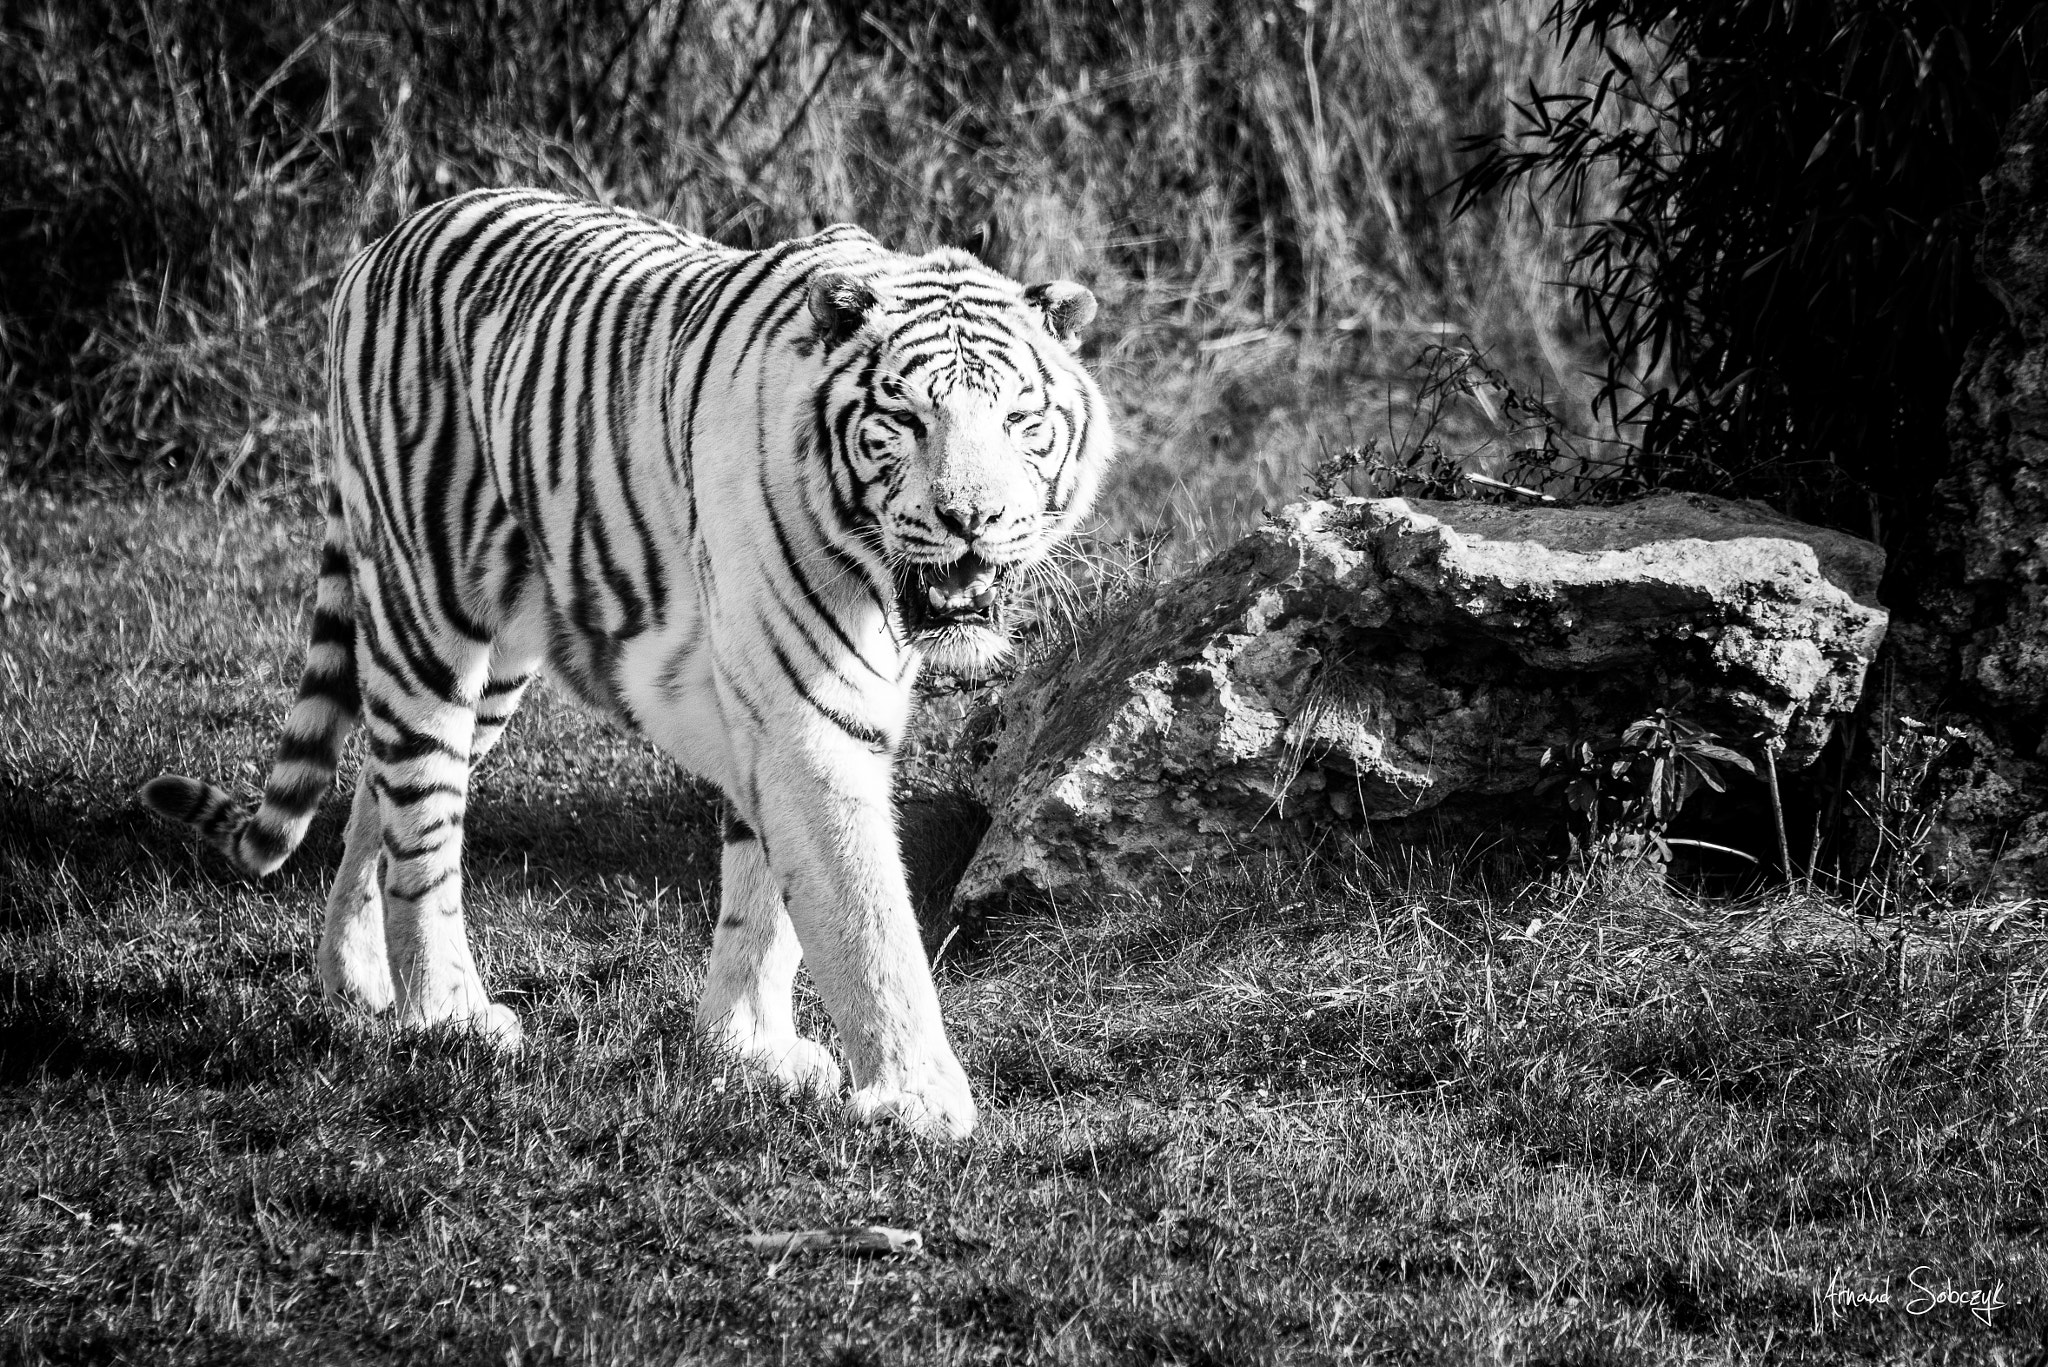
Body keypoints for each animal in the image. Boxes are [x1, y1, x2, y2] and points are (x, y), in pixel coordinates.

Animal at [140, 187, 1114, 1142]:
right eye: (906, 420)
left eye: (1020, 422)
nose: (971, 520)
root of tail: (381, 243)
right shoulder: (808, 717)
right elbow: (865, 915)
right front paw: (920, 1099)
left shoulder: (764, 713)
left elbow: (762, 895)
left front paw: (747, 1046)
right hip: (431, 616)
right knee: (422, 820)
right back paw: (447, 1012)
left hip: (499, 663)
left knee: (375, 793)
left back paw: (358, 980)